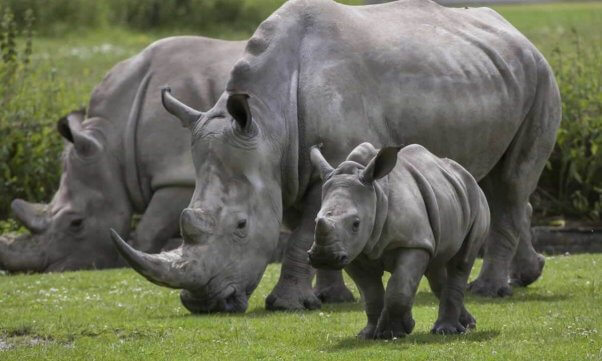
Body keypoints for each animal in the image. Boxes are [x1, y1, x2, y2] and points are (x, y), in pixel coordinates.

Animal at [0, 36, 246, 272]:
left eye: (77, 223)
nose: (51, 269)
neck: (115, 143)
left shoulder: (177, 175)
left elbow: (149, 229)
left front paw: (133, 261)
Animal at [110, 0, 560, 310]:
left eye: (240, 226)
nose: (204, 304)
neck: (269, 124)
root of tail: (518, 33)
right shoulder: (288, 168)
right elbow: (314, 228)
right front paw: (331, 298)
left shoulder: (323, 167)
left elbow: (302, 236)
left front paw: (288, 305)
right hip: (491, 74)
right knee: (494, 185)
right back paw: (526, 275)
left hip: (541, 77)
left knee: (511, 184)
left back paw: (488, 291)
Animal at [310, 143, 488, 338]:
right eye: (315, 221)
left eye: (356, 224)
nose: (324, 257)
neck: (376, 194)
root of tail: (467, 175)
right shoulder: (352, 252)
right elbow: (370, 292)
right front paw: (369, 334)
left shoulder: (414, 243)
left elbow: (399, 287)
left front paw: (393, 332)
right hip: (448, 196)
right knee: (436, 266)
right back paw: (468, 324)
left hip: (477, 198)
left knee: (461, 262)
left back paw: (446, 331)